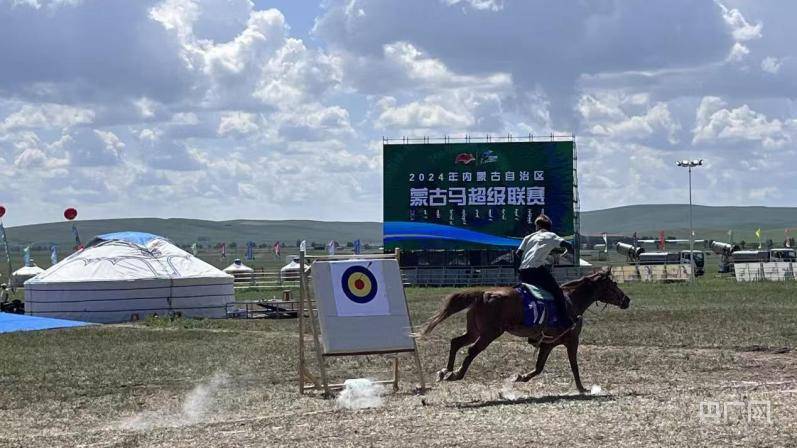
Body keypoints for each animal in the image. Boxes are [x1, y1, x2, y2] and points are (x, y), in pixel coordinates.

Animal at [420, 266, 632, 392]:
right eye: (613, 284)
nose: (627, 300)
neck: (571, 301)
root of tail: (483, 294)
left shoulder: (548, 344)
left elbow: (538, 368)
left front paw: (521, 377)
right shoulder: (572, 341)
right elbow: (574, 365)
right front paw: (582, 388)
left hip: (474, 331)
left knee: (456, 342)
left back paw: (445, 371)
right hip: (489, 333)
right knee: (471, 351)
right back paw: (456, 374)